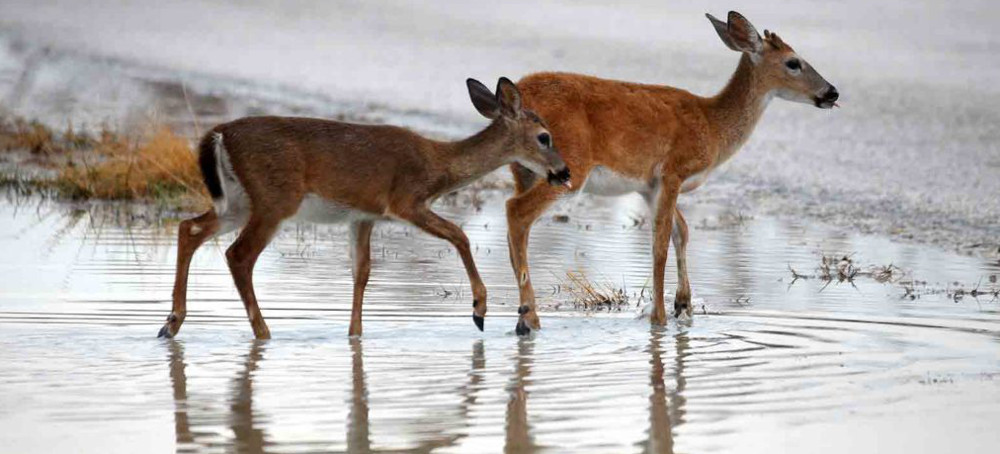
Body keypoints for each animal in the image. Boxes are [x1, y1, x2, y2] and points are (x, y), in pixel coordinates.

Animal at [160, 78, 576, 338]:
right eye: (544, 137)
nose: (564, 171)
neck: (437, 163)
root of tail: (218, 134)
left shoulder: (363, 216)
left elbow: (361, 272)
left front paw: (354, 335)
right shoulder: (405, 200)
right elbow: (459, 234)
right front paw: (478, 310)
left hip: (237, 202)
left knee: (189, 228)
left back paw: (171, 324)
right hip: (274, 199)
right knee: (238, 255)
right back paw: (263, 333)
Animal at [504, 10, 840, 334]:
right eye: (793, 62)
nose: (832, 92)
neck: (713, 126)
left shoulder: (649, 185)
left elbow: (682, 231)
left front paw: (683, 305)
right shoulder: (673, 172)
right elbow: (661, 242)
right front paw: (660, 319)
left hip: (522, 170)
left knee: (516, 226)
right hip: (569, 166)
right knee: (516, 211)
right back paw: (529, 320)